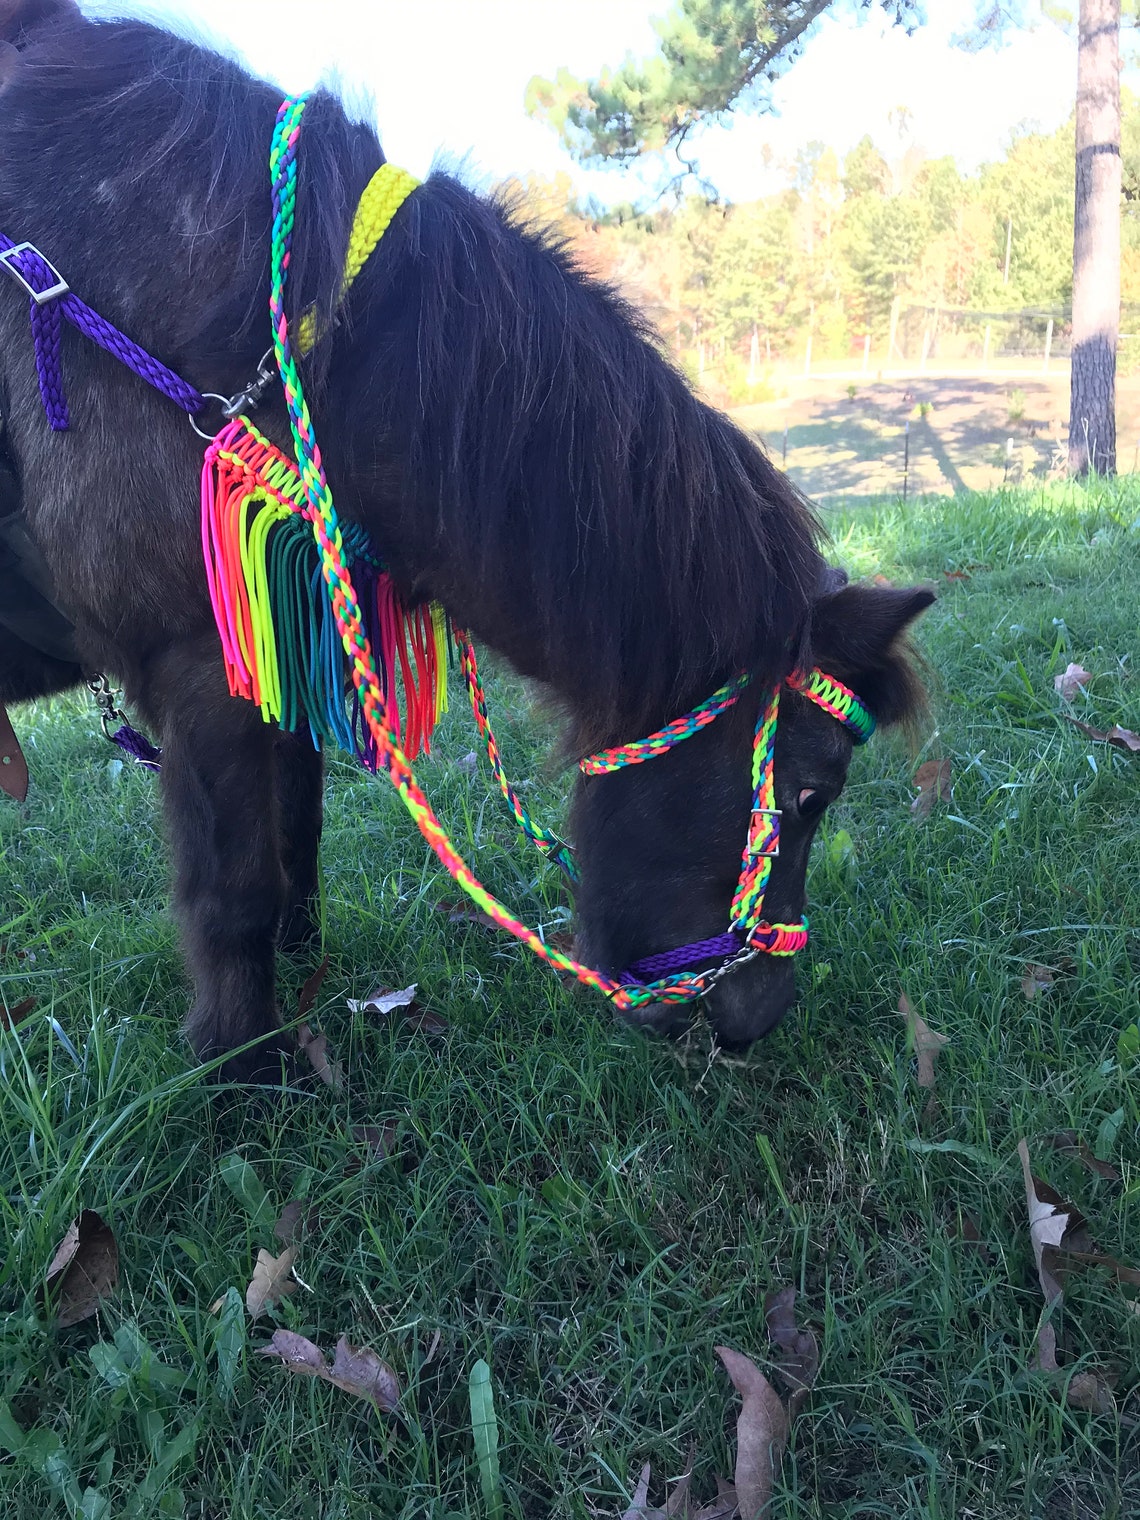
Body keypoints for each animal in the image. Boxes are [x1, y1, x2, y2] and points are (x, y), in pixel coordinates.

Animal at [0, 0, 933, 1080]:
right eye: (811, 794)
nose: (757, 1016)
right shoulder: (196, 660)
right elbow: (235, 891)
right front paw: (246, 1070)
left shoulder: (282, 633)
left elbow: (296, 832)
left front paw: (297, 977)